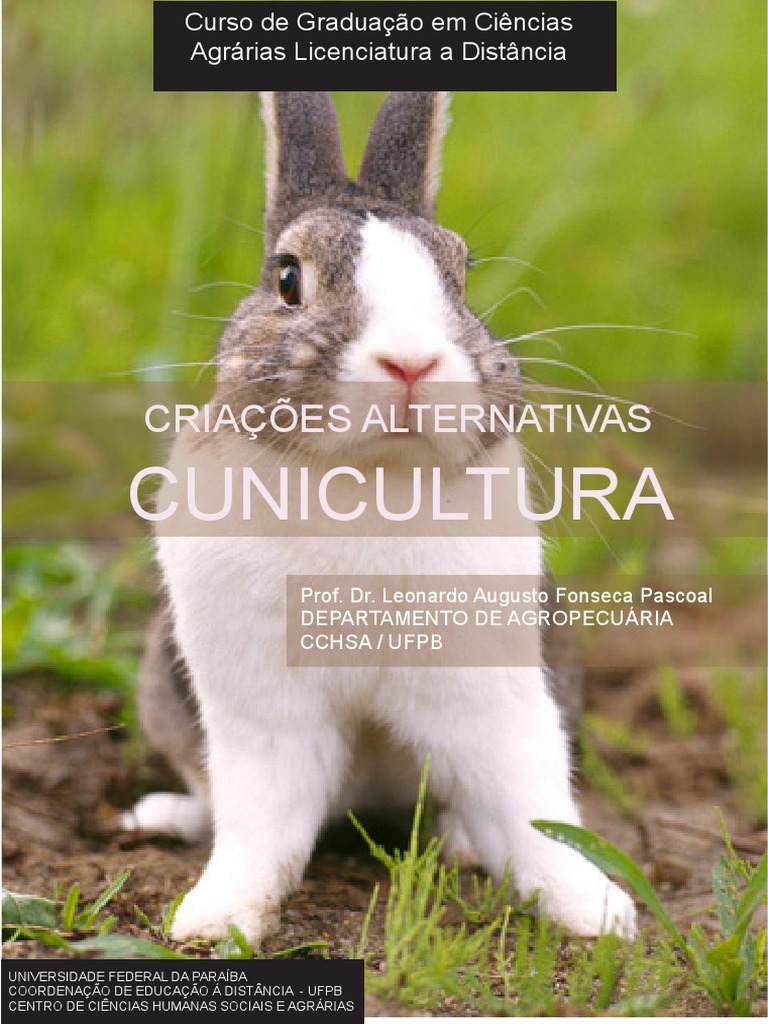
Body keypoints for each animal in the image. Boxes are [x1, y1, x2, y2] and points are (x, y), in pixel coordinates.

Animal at [123, 92, 636, 944]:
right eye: (288, 279)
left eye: (460, 275)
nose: (410, 361)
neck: (367, 482)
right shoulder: (260, 711)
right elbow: (261, 822)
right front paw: (215, 919)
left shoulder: (490, 692)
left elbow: (530, 801)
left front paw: (597, 911)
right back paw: (160, 817)